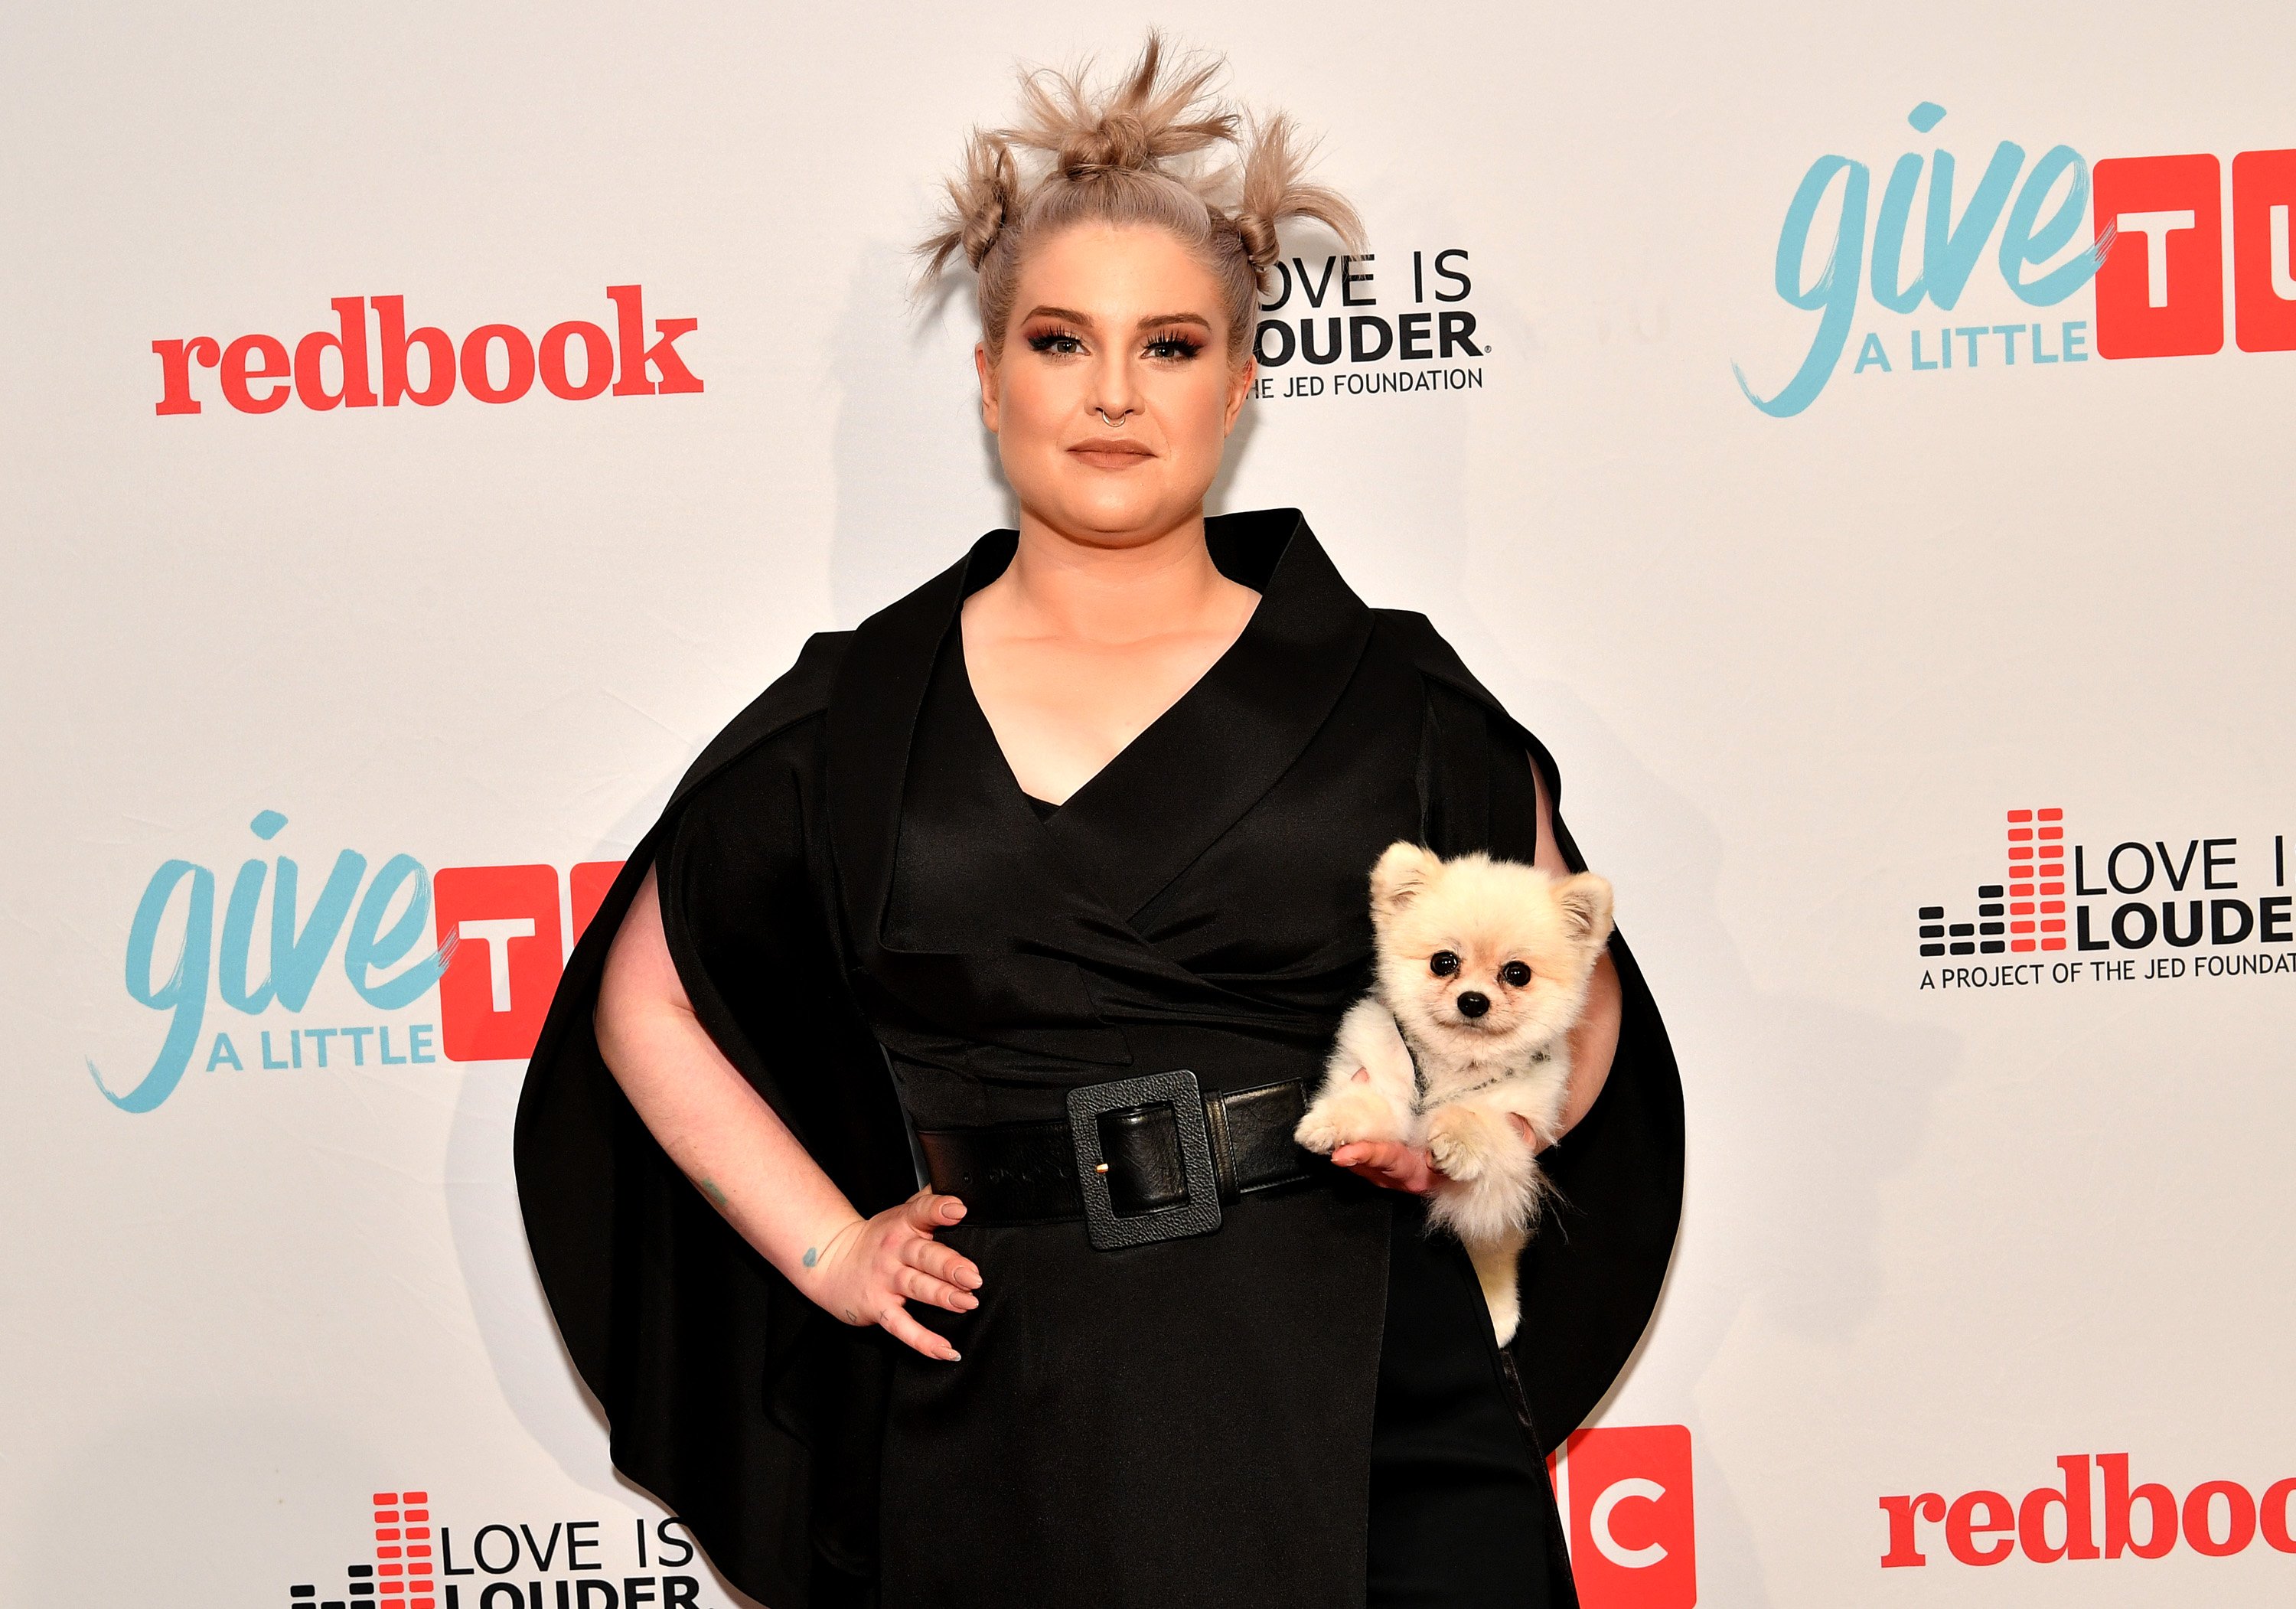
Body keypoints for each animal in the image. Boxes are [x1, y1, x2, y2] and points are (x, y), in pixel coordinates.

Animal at [1295, 840, 1616, 1340]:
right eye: (1443, 962)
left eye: (1517, 973)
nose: (1473, 1001)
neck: (1453, 1065)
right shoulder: (1388, 1080)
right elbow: (1371, 1103)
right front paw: (1331, 1122)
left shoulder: (1516, 1131)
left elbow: (1475, 1116)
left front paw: (1458, 1141)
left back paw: (1500, 1314)